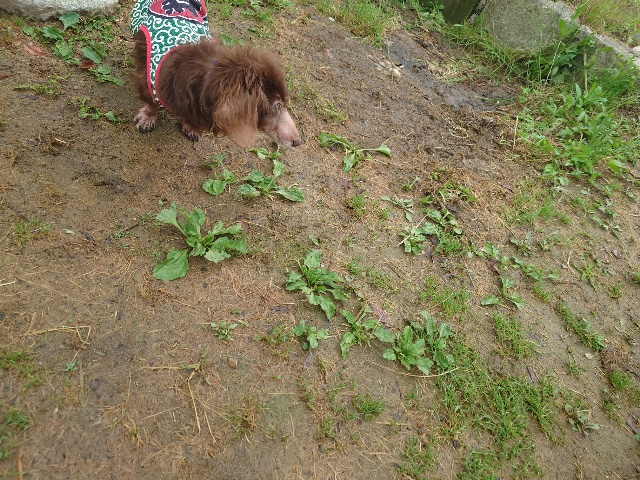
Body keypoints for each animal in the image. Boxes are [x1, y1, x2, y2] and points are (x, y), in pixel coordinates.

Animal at [130, 0, 302, 148]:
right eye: (277, 105)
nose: (298, 141)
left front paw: (191, 126)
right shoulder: (147, 80)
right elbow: (151, 101)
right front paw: (147, 118)